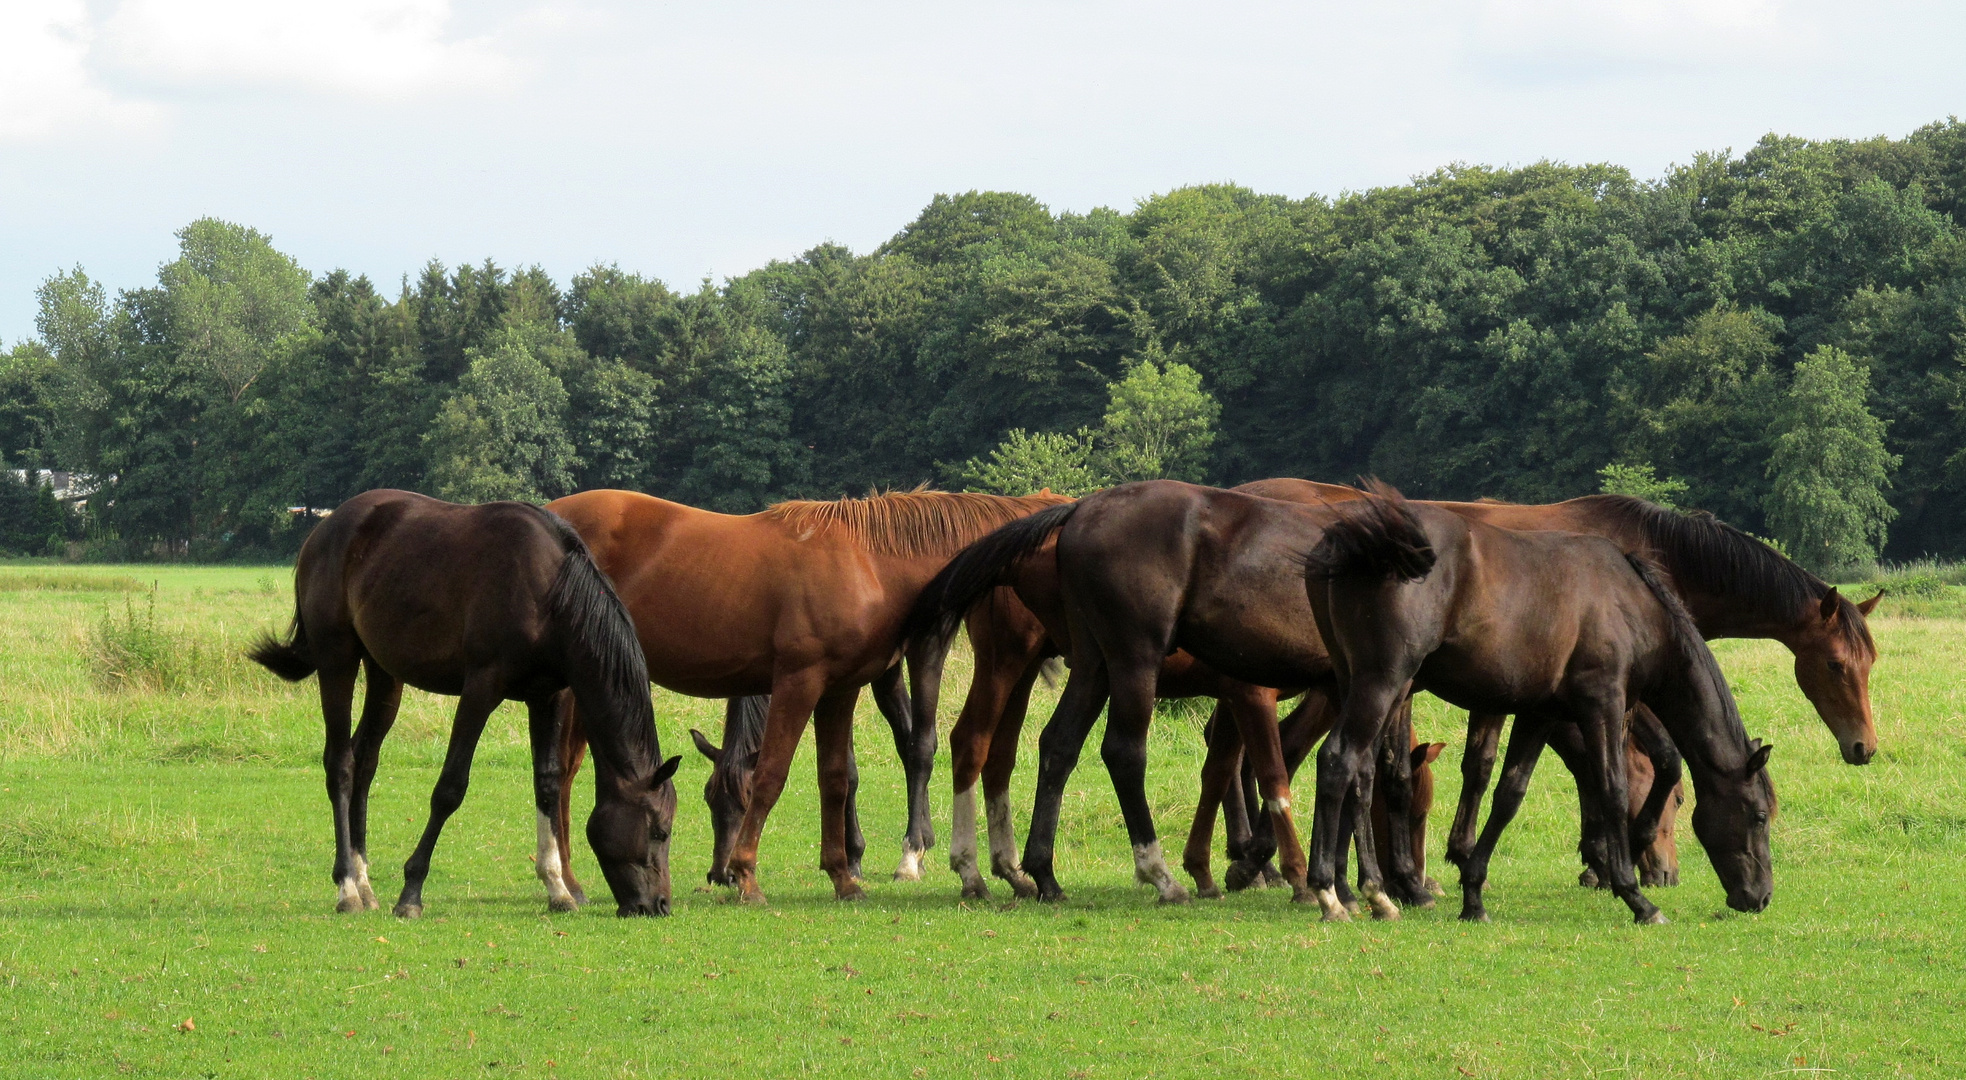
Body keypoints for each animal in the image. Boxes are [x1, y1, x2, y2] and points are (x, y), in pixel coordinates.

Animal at [249, 487, 680, 916]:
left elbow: (547, 783)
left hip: (385, 675)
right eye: (659, 830)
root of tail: (325, 528)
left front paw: (557, 888)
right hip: (337, 659)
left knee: (364, 762)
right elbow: (450, 788)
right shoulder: (481, 689)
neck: (549, 591)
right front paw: (411, 892)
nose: (658, 904)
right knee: (340, 764)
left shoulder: (548, 696)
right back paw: (348, 888)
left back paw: (365, 882)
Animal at [542, 483, 1077, 897]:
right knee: (561, 776)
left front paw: (843, 877)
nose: (1066, 646)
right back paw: (564, 884)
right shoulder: (799, 682)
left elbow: (835, 778)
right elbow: (772, 774)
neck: (869, 559)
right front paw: (748, 875)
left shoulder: (840, 689)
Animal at [1297, 483, 1777, 920]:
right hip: (1383, 682)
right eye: (1758, 816)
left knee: (1360, 773)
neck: (1630, 602)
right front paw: (1635, 897)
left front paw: (1474, 897)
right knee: (1338, 759)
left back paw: (1367, 892)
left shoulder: (1539, 714)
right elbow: (1613, 790)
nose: (1760, 897)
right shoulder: (1603, 705)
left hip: (1359, 683)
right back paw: (1332, 894)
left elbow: (1509, 794)